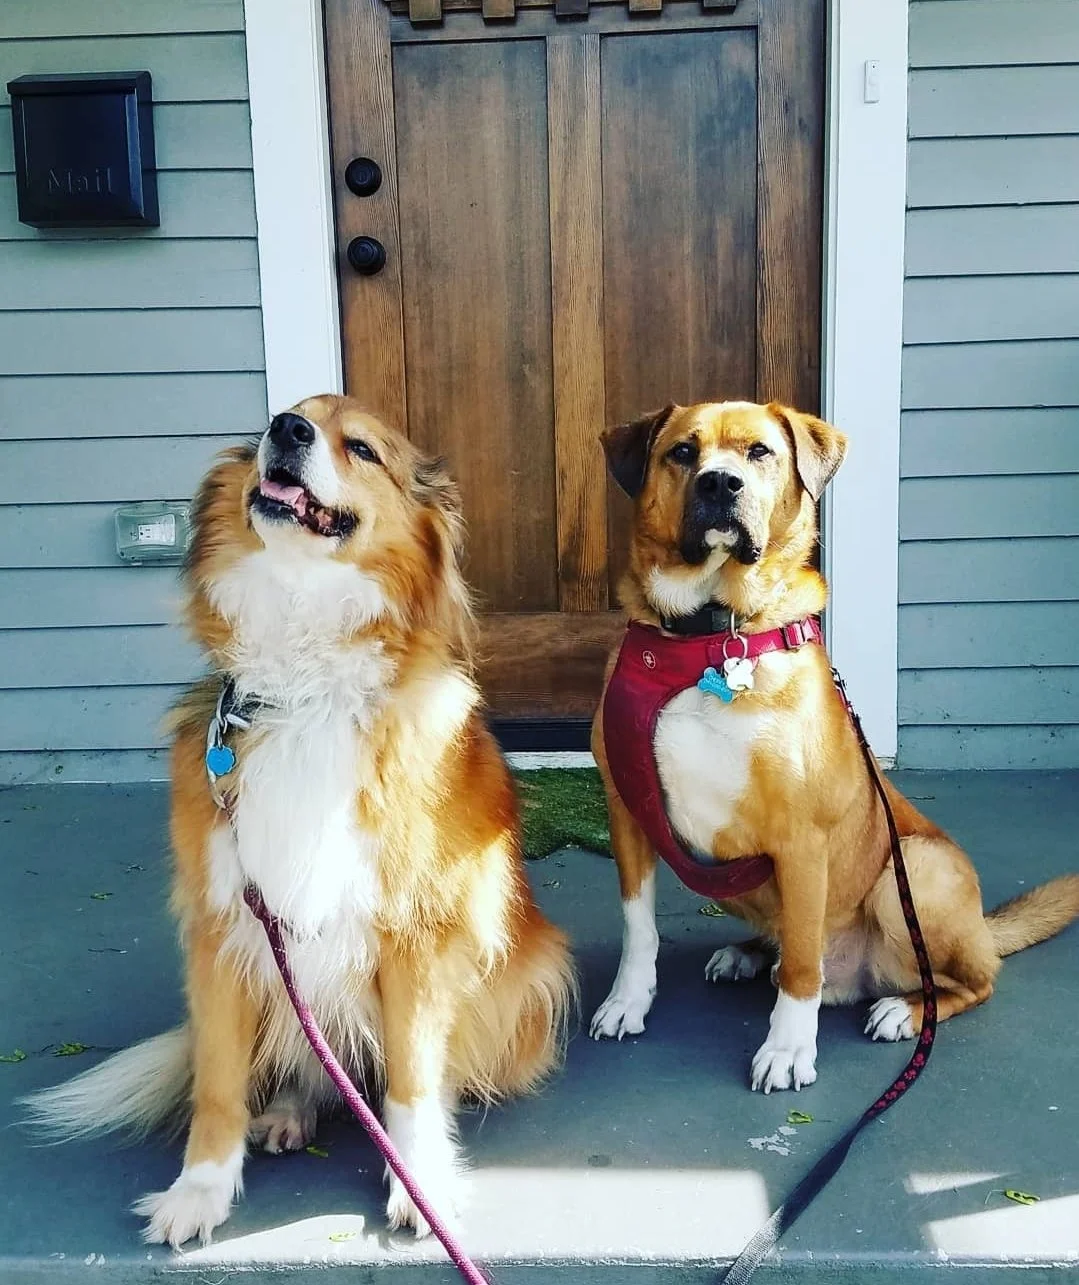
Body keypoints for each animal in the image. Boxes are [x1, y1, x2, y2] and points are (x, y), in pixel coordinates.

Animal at [24, 395, 575, 1244]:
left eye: (363, 448)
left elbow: (412, 1082)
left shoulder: (417, 935)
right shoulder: (224, 926)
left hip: (526, 981)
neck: (305, 680)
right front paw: (199, 1190)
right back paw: (287, 1110)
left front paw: (419, 1184)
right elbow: (219, 1083)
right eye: (273, 423)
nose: (286, 429)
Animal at [589, 398, 1079, 1093]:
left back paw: (904, 1009)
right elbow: (639, 929)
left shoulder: (801, 840)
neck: (711, 638)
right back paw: (746, 955)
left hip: (913, 875)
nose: (720, 485)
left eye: (759, 453)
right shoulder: (627, 811)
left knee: (971, 981)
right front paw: (628, 1001)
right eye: (682, 453)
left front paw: (788, 1049)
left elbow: (801, 965)